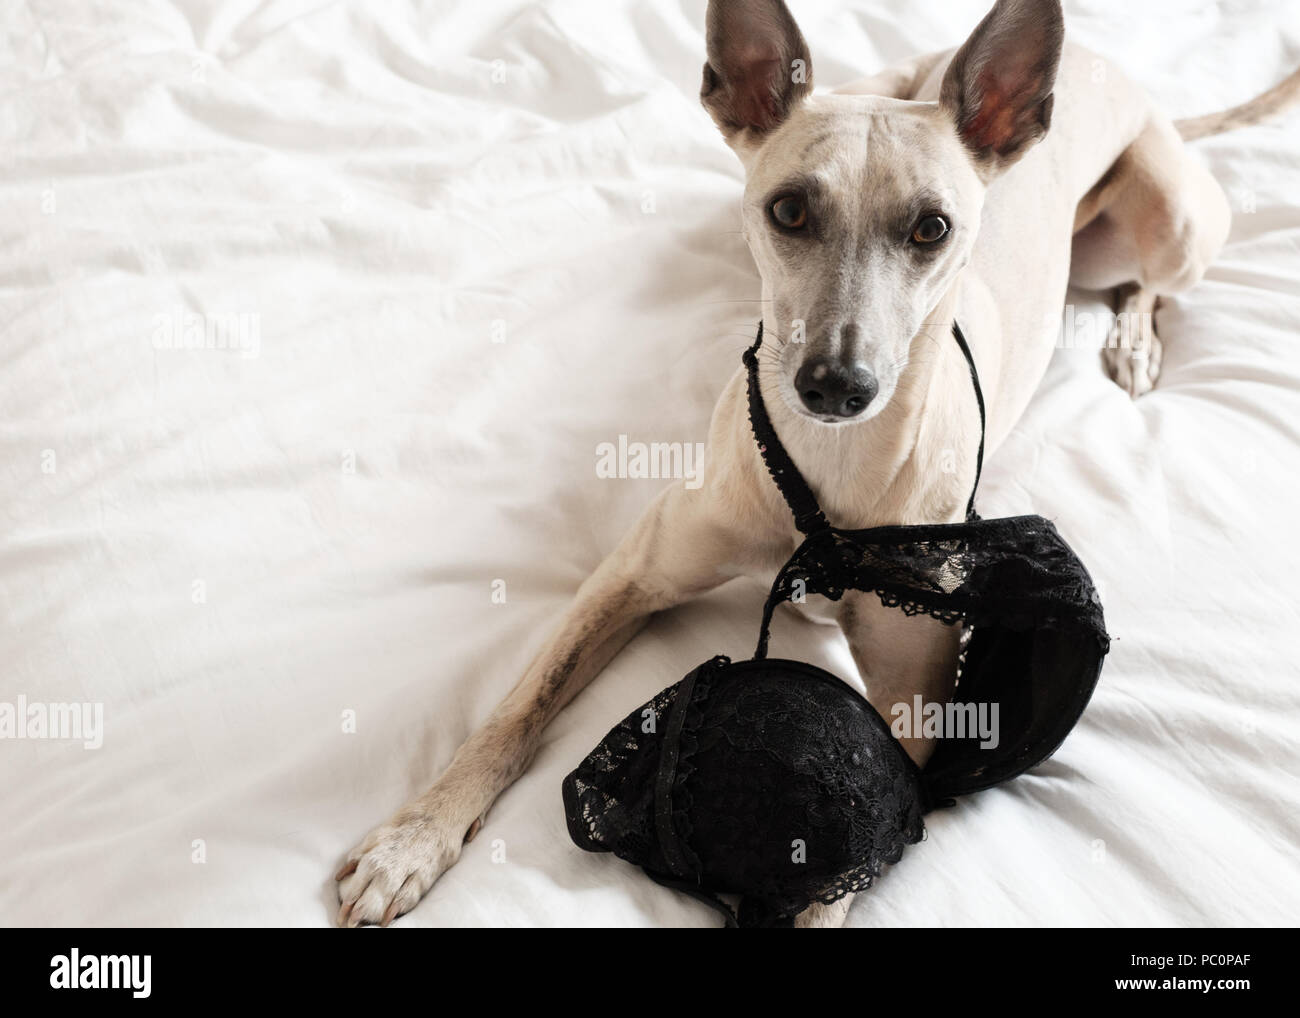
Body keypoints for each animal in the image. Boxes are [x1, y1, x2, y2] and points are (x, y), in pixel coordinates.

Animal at [335, 0, 1300, 925]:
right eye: (790, 211)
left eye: (933, 228)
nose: (838, 384)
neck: (829, 479)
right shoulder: (632, 573)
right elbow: (519, 707)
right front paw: (414, 839)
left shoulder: (914, 700)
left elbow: (854, 849)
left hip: (1169, 219)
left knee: (1154, 284)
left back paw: (1135, 338)